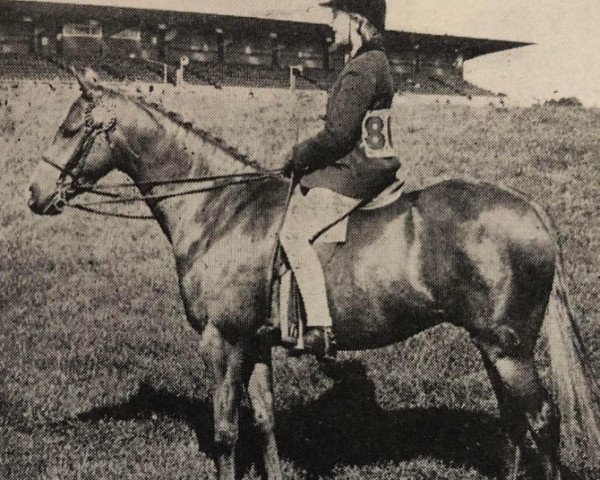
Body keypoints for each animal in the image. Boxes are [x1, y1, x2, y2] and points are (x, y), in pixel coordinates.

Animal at [27, 68, 600, 480]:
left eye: (70, 128)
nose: (35, 195)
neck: (218, 207)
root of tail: (528, 207)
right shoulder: (256, 343)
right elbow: (264, 423)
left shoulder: (222, 340)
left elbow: (226, 431)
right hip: (494, 347)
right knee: (516, 427)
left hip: (507, 349)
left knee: (540, 423)